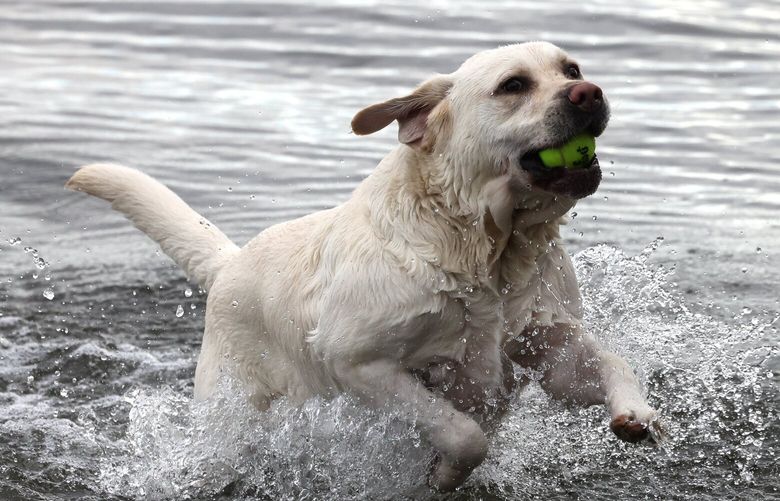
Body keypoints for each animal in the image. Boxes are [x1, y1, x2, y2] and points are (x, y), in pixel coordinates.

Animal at [67, 41, 660, 490]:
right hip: (232, 411)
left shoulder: (549, 346)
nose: (589, 92)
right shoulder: (358, 362)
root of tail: (230, 264)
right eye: (513, 85)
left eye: (571, 69)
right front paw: (446, 475)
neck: (485, 248)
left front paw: (636, 416)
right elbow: (464, 433)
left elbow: (613, 363)